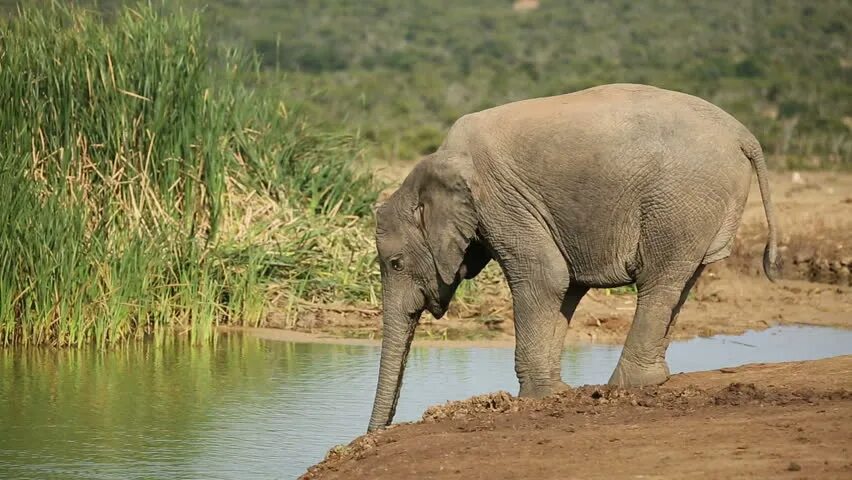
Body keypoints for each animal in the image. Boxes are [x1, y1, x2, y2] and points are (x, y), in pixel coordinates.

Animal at [366, 82, 780, 432]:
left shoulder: (500, 202)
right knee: (682, 279)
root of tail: (743, 135)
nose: (377, 433)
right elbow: (565, 285)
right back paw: (653, 379)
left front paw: (537, 397)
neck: (437, 163)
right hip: (701, 203)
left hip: (679, 198)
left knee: (658, 281)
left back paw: (625, 387)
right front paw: (556, 392)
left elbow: (545, 277)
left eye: (396, 263)